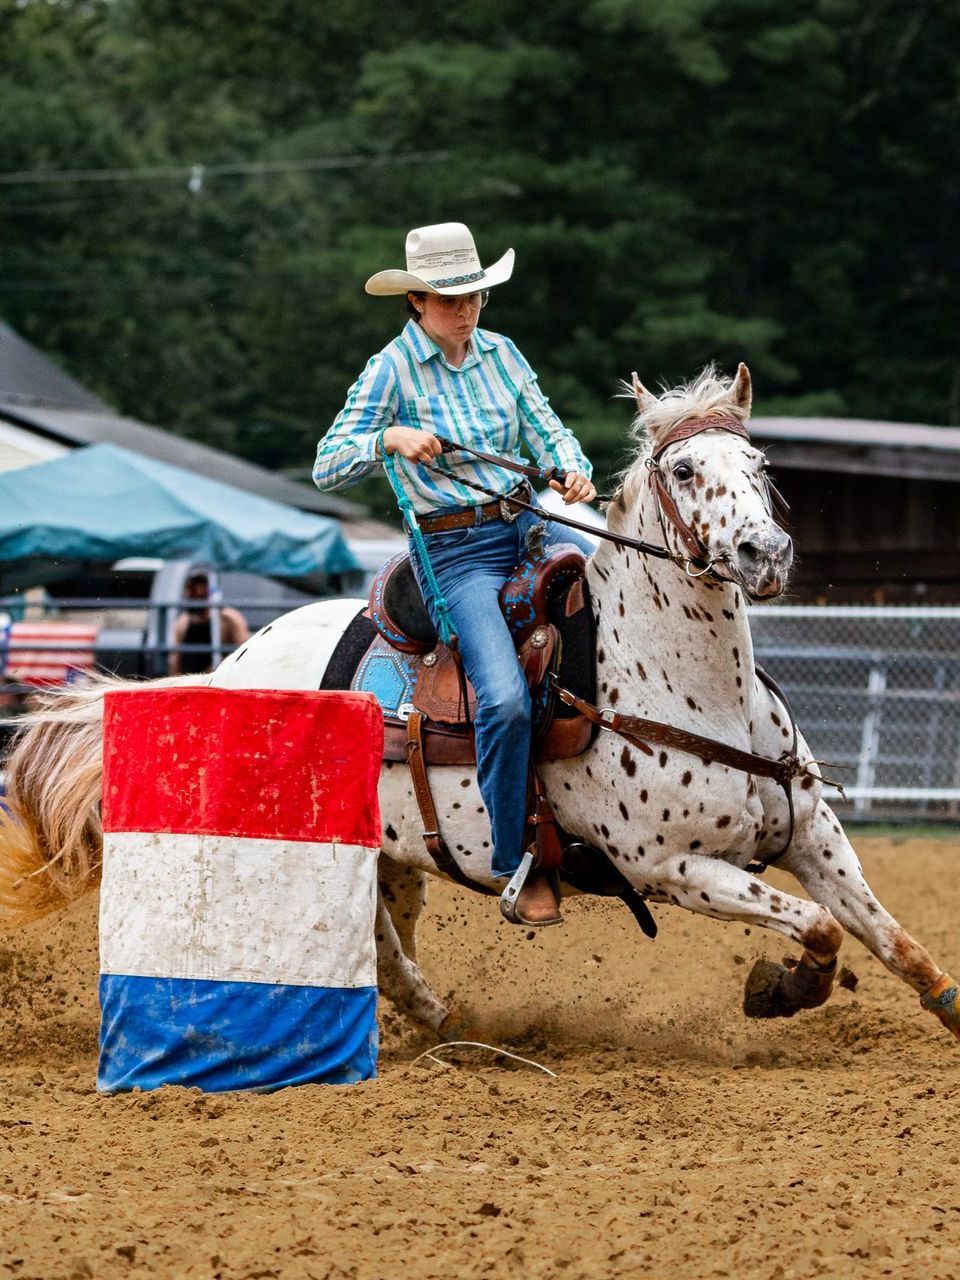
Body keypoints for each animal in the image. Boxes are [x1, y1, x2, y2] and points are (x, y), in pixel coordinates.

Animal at [2, 363, 958, 1046]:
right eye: (685, 468)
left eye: (758, 466)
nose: (764, 553)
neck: (692, 691)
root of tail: (229, 667)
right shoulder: (674, 868)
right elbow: (818, 932)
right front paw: (775, 991)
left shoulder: (814, 836)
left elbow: (893, 941)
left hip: (391, 853)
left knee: (382, 935)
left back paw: (432, 1020)